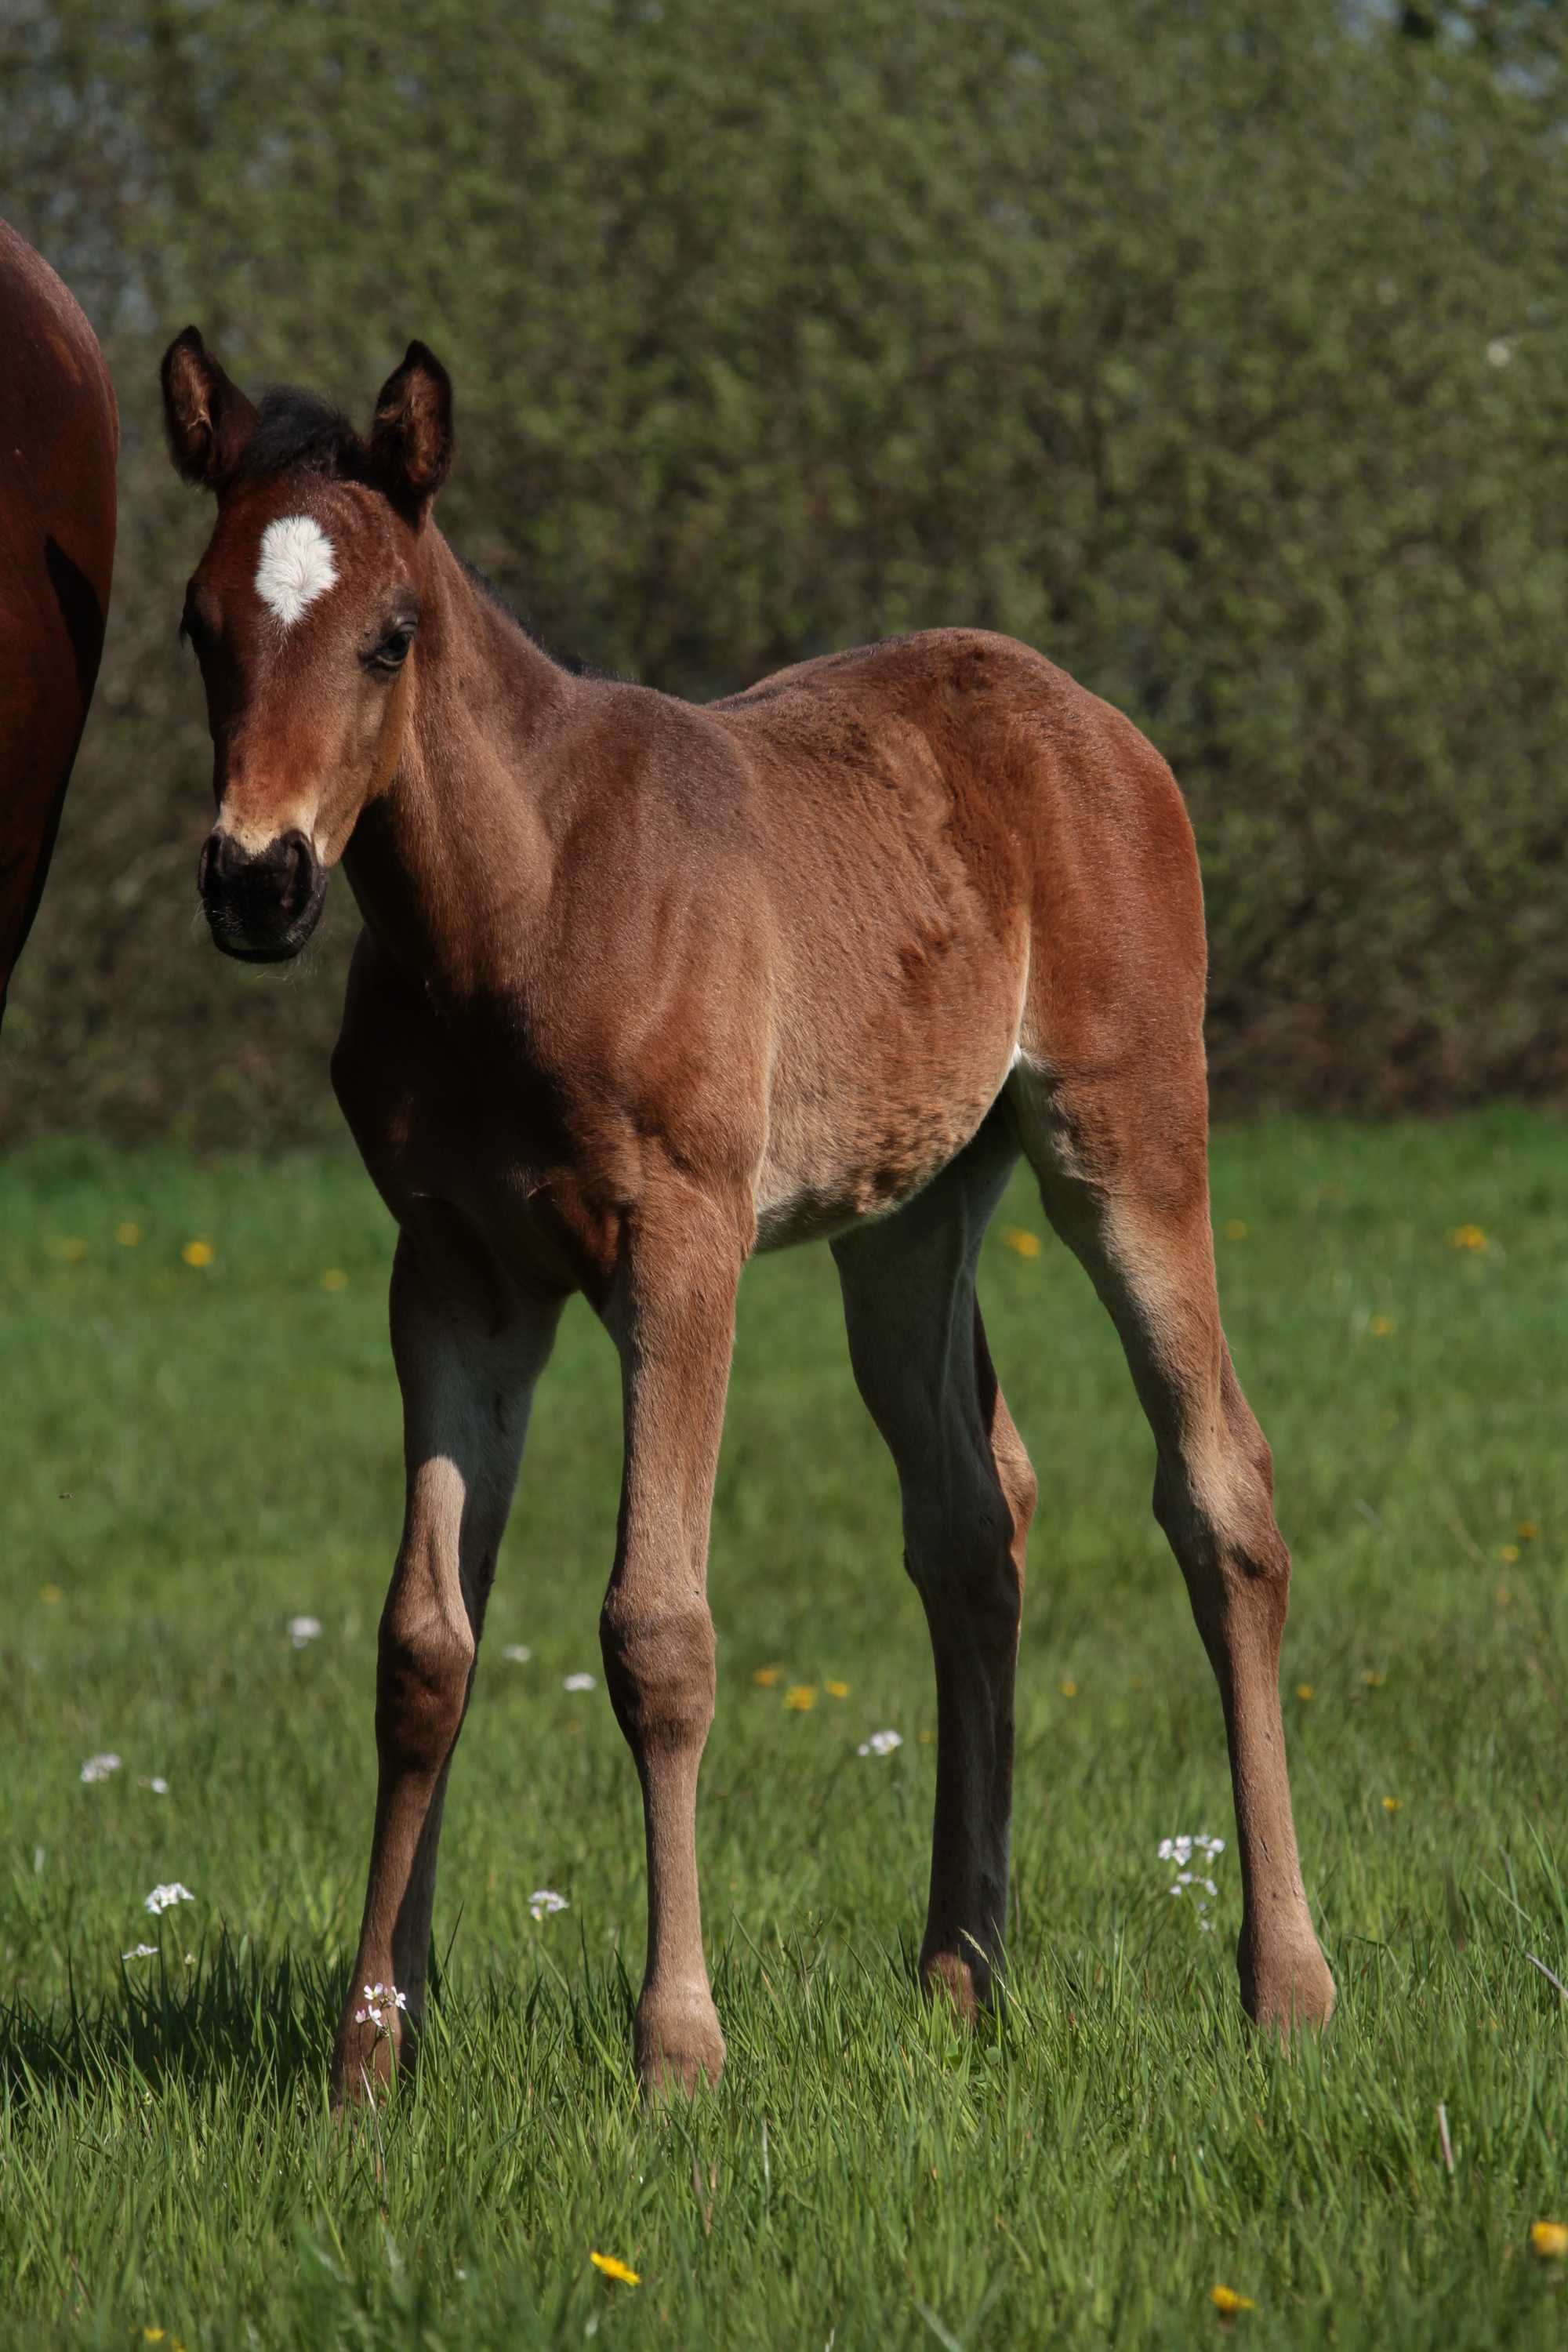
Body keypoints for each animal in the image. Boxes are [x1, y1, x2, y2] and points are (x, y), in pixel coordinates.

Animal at [162, 327, 1335, 2098]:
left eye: (390, 636)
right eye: (199, 625)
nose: (257, 882)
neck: (524, 903)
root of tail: (1088, 714)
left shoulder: (681, 1251)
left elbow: (658, 1633)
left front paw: (679, 2048)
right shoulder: (453, 1274)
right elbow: (422, 1647)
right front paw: (371, 2052)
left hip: (1126, 1136)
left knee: (1221, 1493)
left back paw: (1285, 1983)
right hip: (906, 1219)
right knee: (970, 1523)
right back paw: (960, 1973)